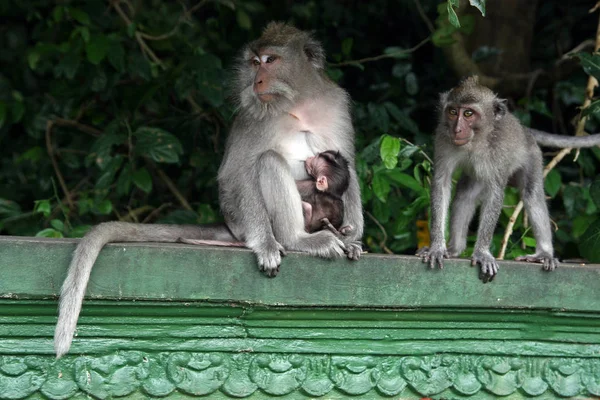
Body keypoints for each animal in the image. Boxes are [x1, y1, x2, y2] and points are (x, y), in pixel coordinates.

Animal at [56, 22, 364, 356]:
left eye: (270, 60)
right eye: (254, 62)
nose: (256, 80)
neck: (296, 102)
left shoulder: (335, 103)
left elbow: (348, 168)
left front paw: (352, 238)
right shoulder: (251, 116)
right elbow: (235, 174)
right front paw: (266, 245)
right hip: (245, 219)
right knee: (268, 161)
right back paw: (296, 239)